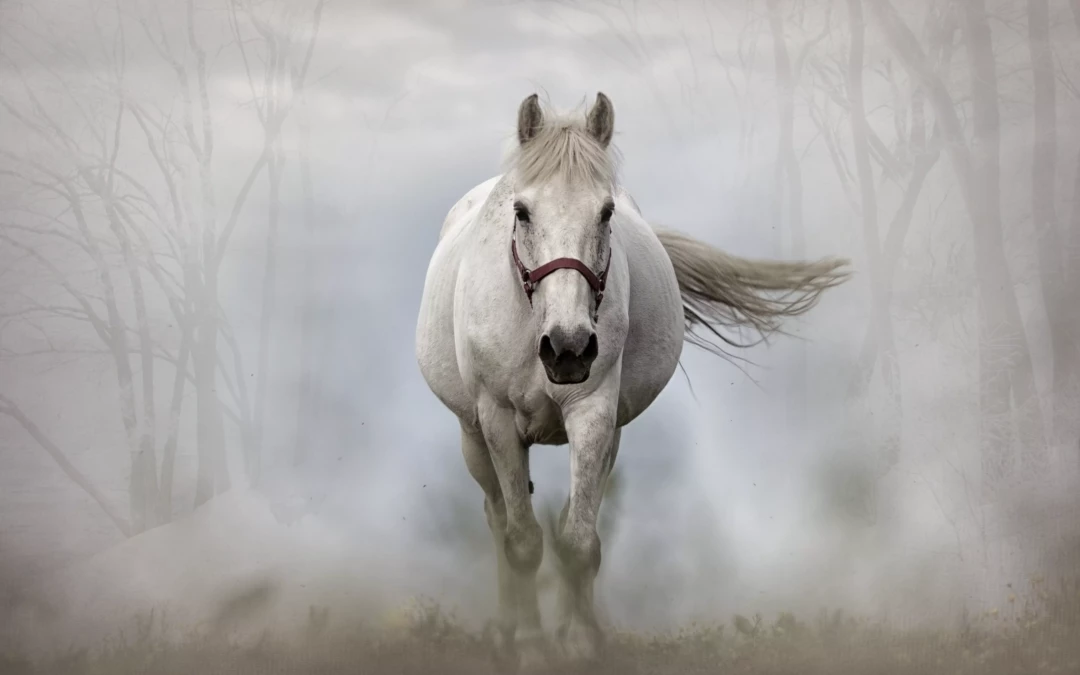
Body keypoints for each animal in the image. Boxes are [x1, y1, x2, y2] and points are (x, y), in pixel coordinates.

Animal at [414, 92, 850, 669]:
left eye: (606, 212)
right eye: (522, 211)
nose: (568, 348)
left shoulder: (595, 413)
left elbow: (579, 541)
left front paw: (579, 643)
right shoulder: (498, 420)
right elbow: (523, 541)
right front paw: (529, 649)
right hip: (473, 436)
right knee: (497, 517)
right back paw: (507, 630)